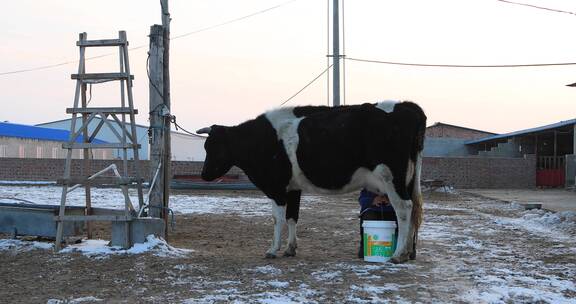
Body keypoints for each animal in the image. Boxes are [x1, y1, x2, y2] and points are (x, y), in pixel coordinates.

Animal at [198, 101, 428, 262]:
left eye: (213, 146)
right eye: (206, 146)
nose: (204, 174)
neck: (259, 139)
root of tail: (408, 106)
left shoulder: (276, 187)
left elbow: (277, 218)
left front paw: (272, 249)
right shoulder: (293, 188)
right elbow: (292, 217)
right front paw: (290, 249)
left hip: (391, 177)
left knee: (404, 208)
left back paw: (398, 254)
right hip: (408, 178)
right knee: (413, 209)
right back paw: (408, 253)